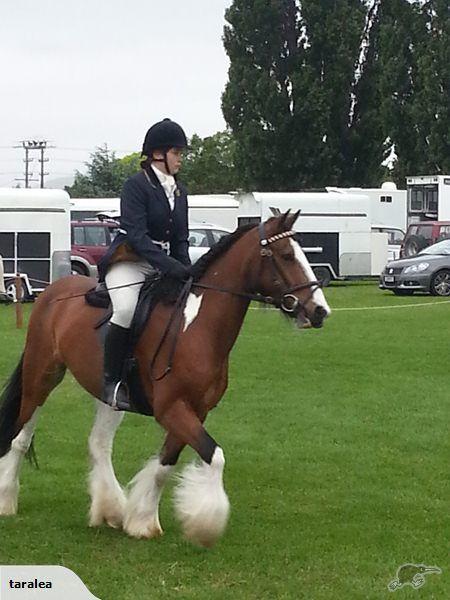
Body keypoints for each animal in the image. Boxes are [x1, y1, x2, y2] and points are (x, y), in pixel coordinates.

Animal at [0, 212, 330, 548]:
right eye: (286, 255)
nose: (320, 311)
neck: (195, 327)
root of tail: (54, 291)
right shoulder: (172, 408)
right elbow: (215, 456)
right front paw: (205, 524)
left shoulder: (195, 410)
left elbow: (164, 464)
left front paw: (142, 520)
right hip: (42, 376)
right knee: (20, 435)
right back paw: (6, 500)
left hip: (109, 395)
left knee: (98, 444)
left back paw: (111, 510)